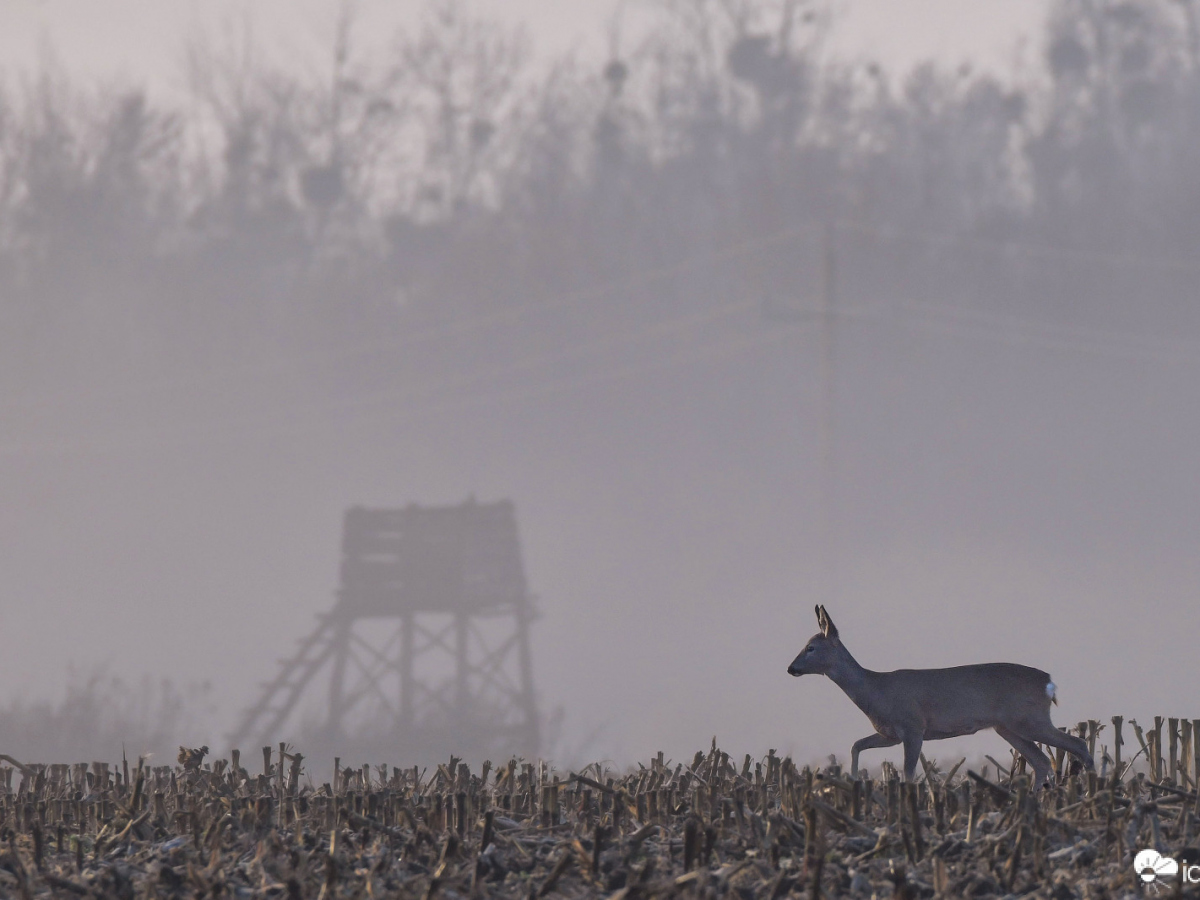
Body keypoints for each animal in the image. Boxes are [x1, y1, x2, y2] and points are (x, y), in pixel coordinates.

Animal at [787, 607, 1099, 787]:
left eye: (811, 647)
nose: (791, 668)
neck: (875, 690)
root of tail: (1048, 682)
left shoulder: (913, 727)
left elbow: (908, 772)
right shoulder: (890, 734)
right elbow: (856, 745)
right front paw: (851, 780)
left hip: (1029, 719)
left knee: (1078, 743)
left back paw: (1095, 787)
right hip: (1009, 727)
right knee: (1041, 761)